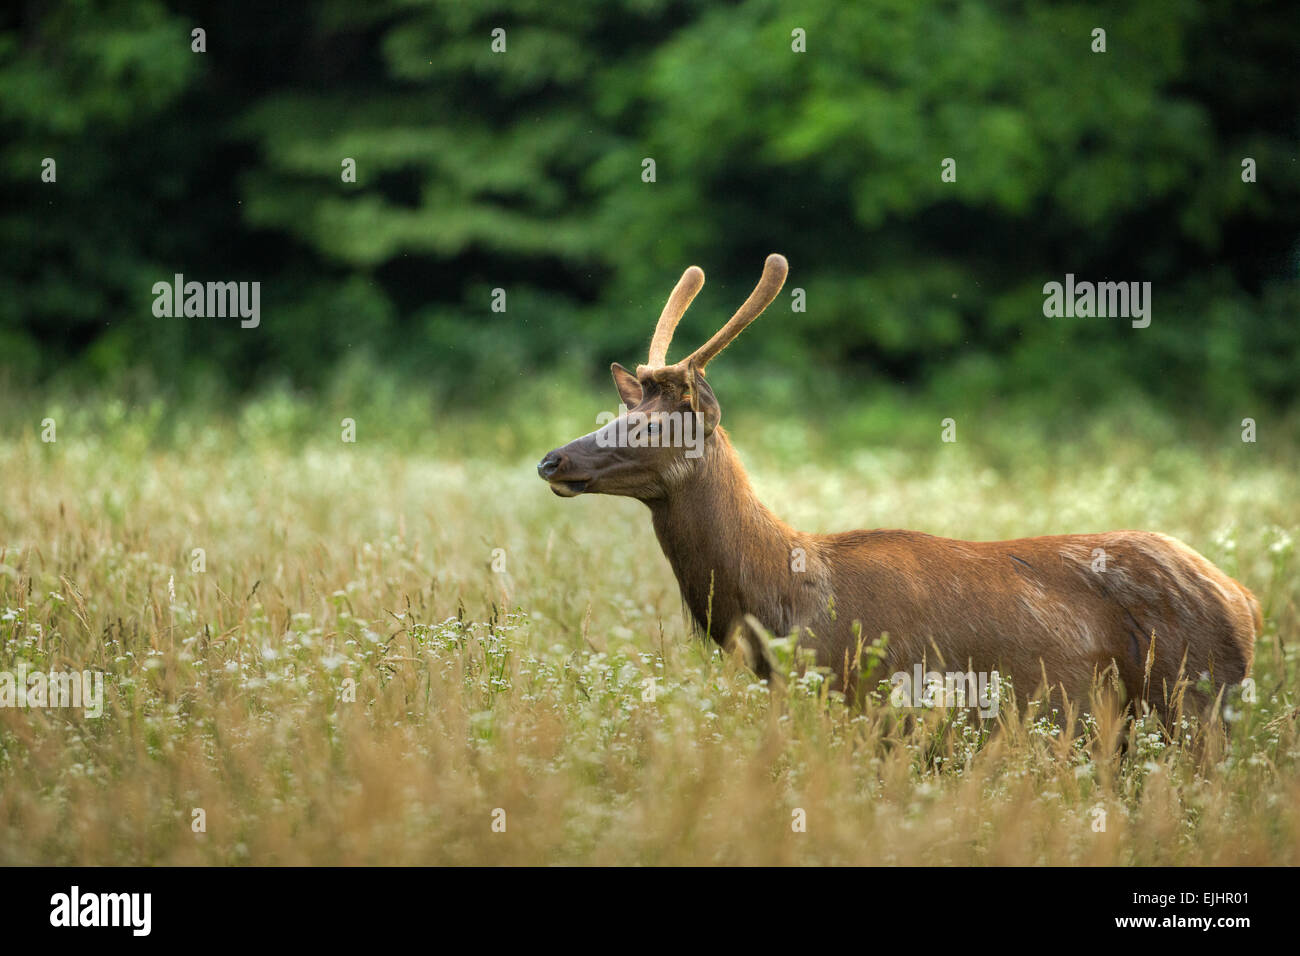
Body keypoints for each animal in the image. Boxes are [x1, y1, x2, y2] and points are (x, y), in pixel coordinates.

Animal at [535, 254, 1258, 717]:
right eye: (619, 413)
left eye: (650, 426)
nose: (552, 461)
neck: (782, 607)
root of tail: (1246, 602)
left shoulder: (877, 702)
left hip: (1194, 702)